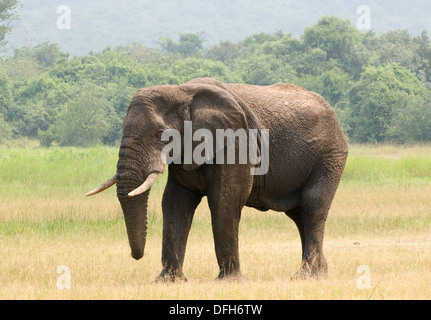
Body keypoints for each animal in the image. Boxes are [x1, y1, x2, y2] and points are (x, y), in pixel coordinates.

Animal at [85, 76, 352, 282]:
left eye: (161, 133)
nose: (137, 256)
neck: (181, 91)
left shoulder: (234, 142)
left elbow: (224, 201)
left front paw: (230, 281)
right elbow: (174, 203)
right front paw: (168, 281)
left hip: (330, 155)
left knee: (312, 207)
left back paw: (305, 276)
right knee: (298, 215)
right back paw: (320, 274)